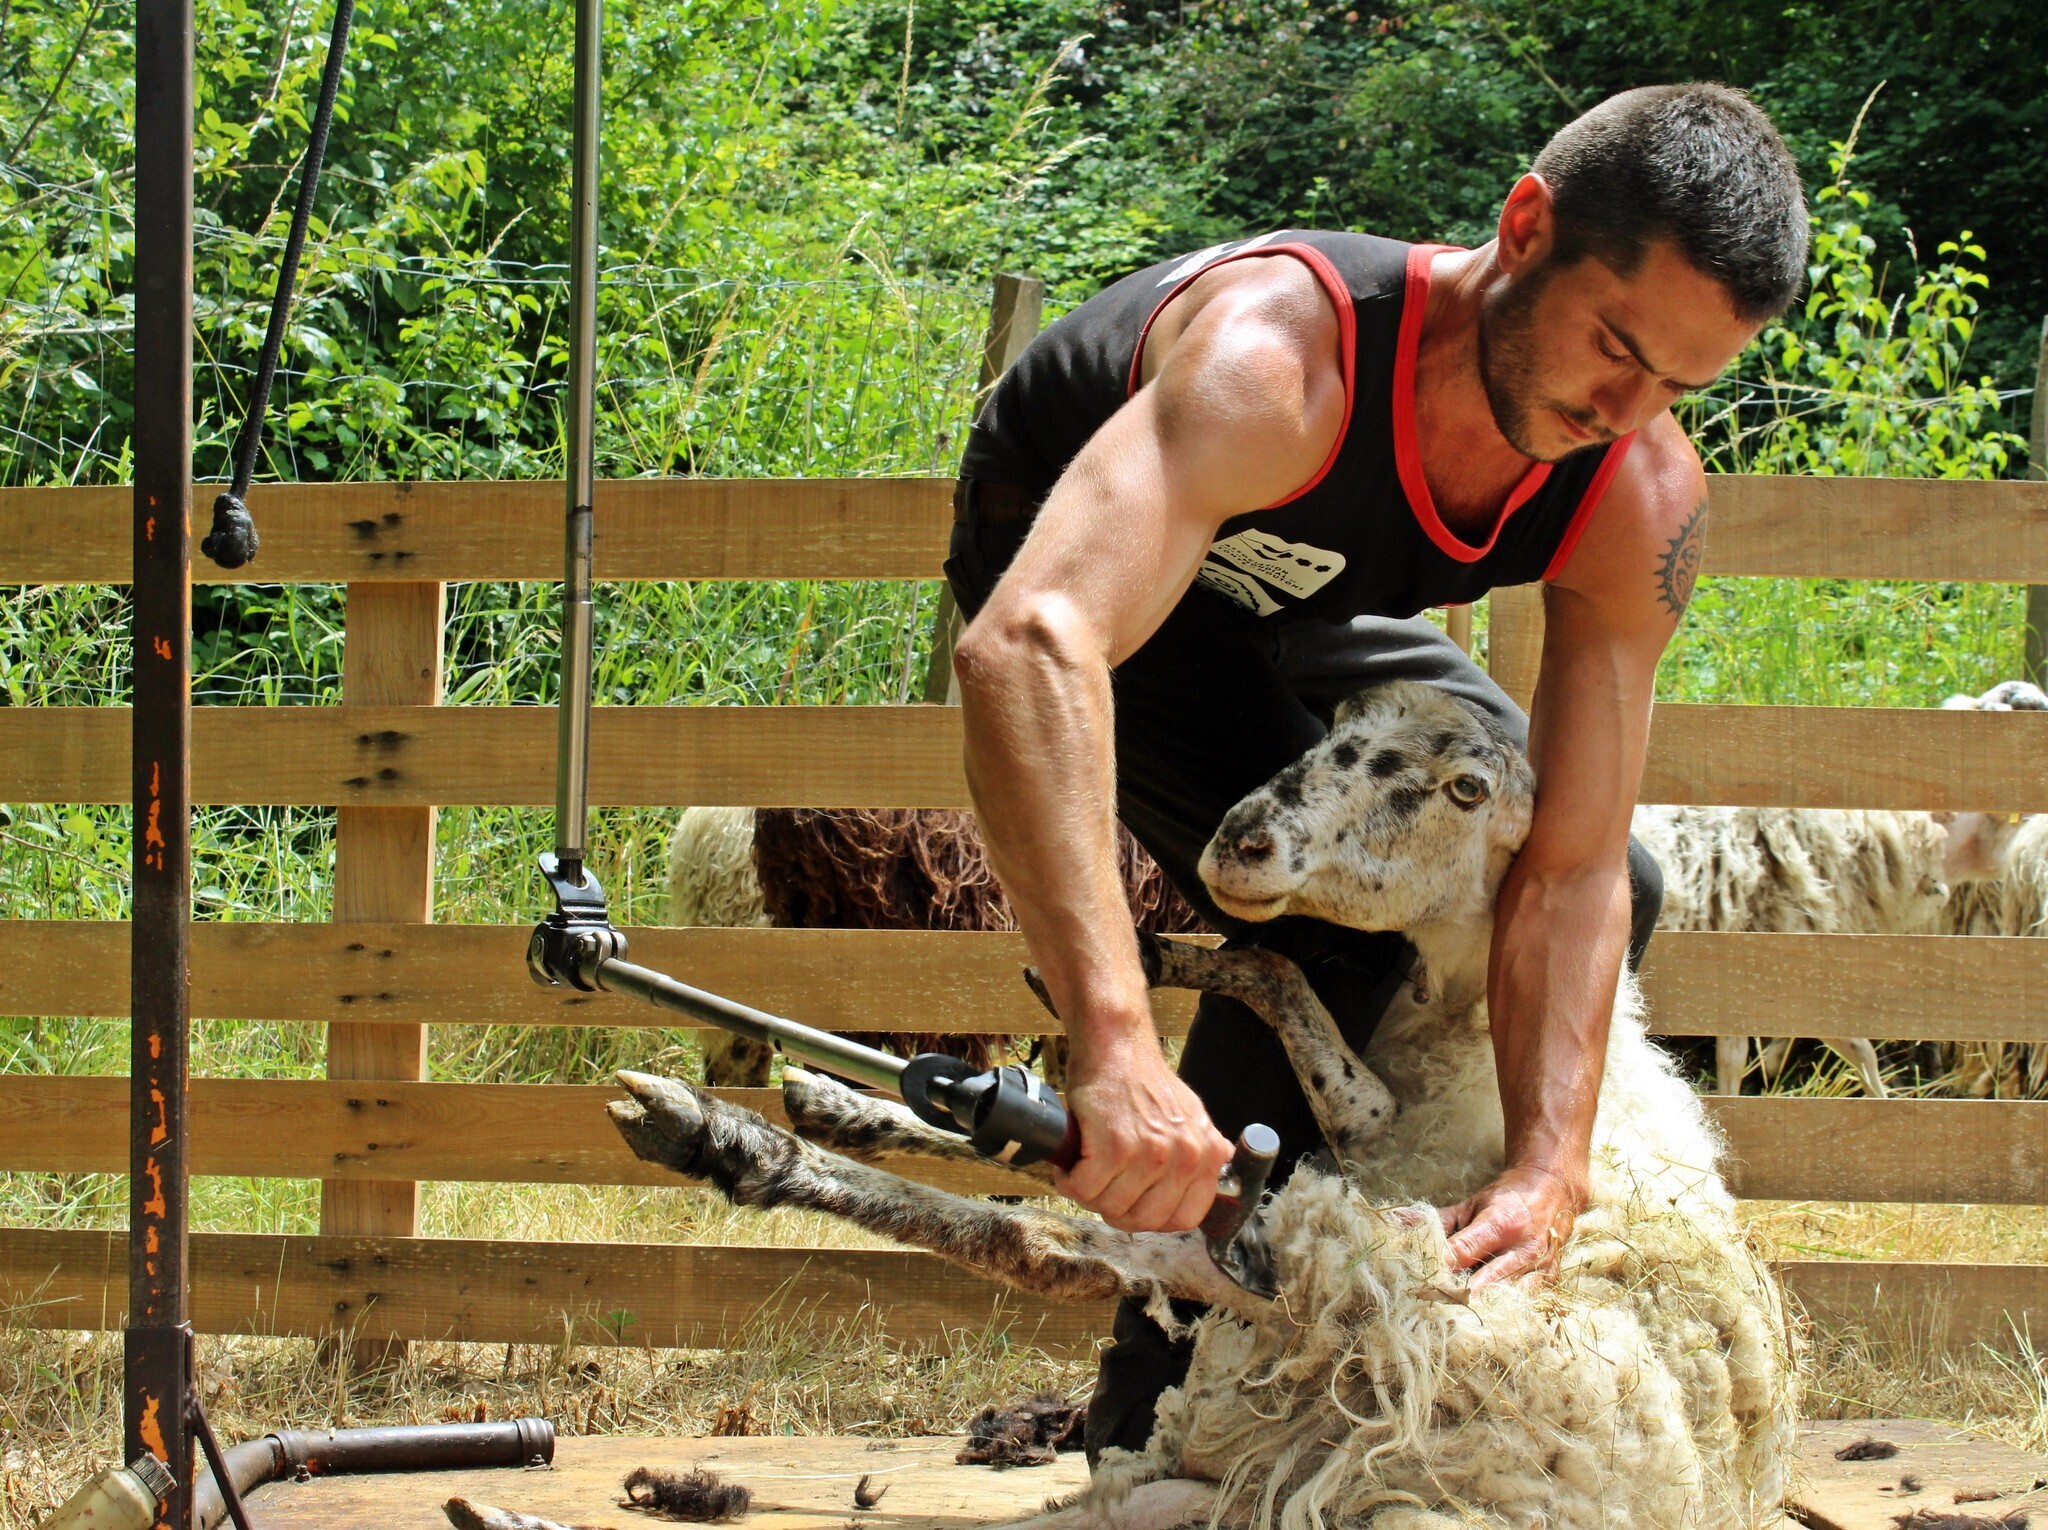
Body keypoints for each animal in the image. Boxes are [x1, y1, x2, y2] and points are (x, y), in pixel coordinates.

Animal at [616, 680, 1798, 1530]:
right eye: (1337, 724)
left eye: (1466, 788)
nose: (1242, 841)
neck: (1461, 1005)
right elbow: (1252, 972)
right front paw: (1147, 959)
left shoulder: (1366, 1127)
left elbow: (1272, 975)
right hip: (1208, 1436)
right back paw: (810, 1114)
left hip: (1352, 1277)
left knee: (1068, 1246)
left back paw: (722, 1138)